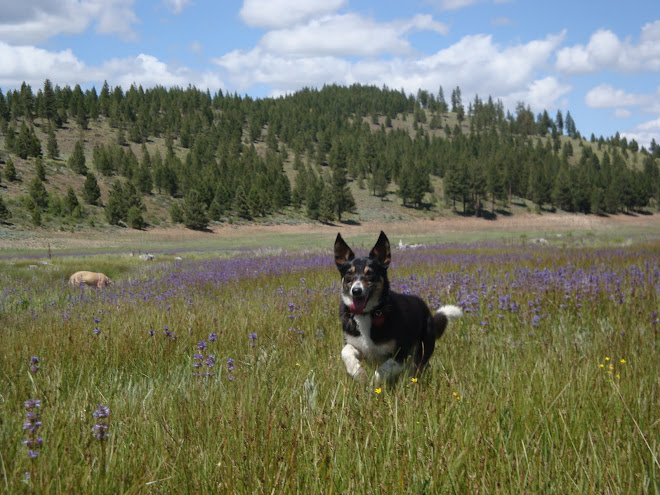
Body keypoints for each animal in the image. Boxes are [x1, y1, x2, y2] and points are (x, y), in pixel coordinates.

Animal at [332, 231, 462, 386]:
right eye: (349, 274)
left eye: (370, 273)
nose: (356, 291)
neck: (368, 314)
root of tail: (427, 311)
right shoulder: (357, 345)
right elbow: (345, 352)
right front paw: (358, 373)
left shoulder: (401, 354)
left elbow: (383, 370)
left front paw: (373, 384)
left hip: (422, 351)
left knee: (415, 369)